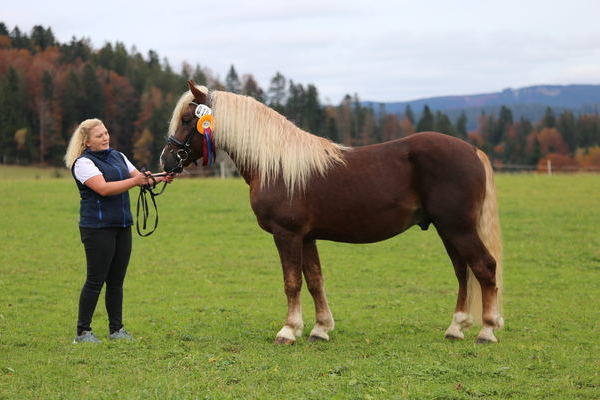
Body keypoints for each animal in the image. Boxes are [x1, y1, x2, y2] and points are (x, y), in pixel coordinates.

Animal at [161, 80, 506, 344]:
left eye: (189, 119)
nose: (166, 160)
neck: (276, 165)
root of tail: (472, 150)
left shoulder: (287, 235)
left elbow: (292, 282)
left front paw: (289, 330)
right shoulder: (306, 237)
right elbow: (315, 280)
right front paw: (320, 329)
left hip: (458, 228)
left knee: (484, 268)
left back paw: (487, 331)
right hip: (448, 229)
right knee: (463, 272)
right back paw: (456, 327)